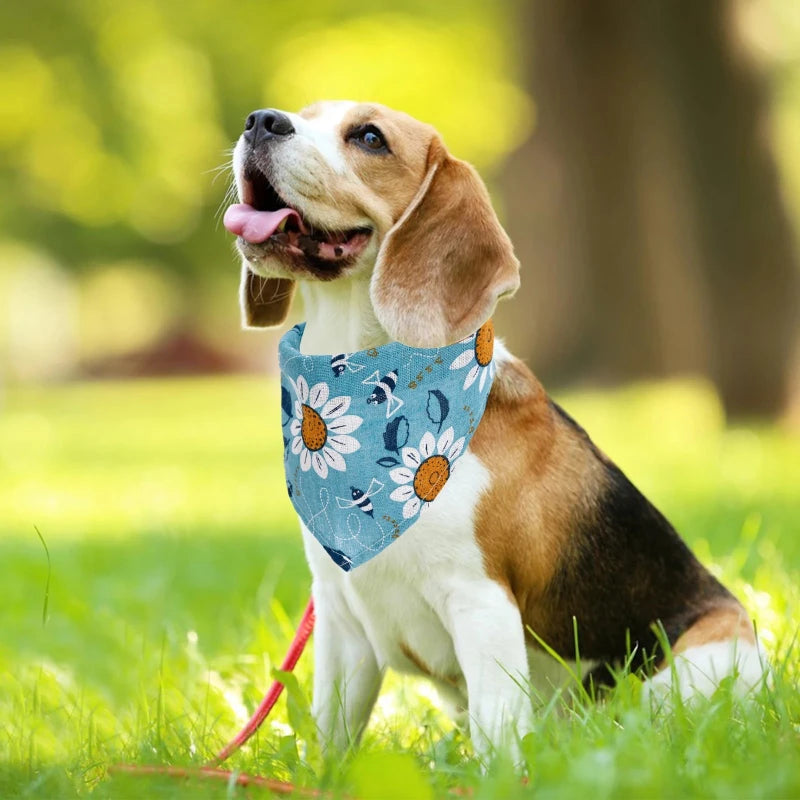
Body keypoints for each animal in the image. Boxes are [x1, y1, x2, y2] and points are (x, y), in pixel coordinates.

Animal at [223, 103, 764, 760]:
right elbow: (332, 739)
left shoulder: (481, 604)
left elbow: (496, 737)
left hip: (679, 678)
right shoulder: (342, 622)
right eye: (304, 115)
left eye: (370, 137)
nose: (261, 120)